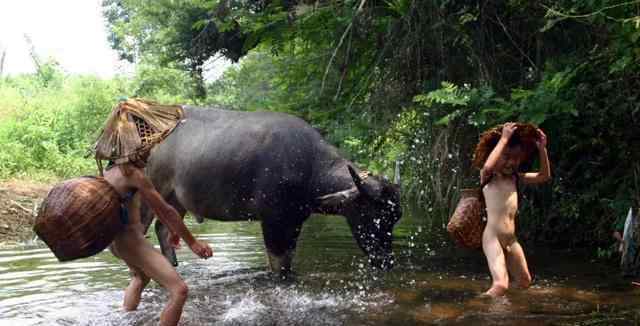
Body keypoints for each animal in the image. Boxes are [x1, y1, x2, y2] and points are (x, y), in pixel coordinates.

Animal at [144, 106, 400, 272]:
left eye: (395, 218)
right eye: (372, 215)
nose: (386, 260)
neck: (309, 167)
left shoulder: (294, 221)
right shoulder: (272, 221)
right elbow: (278, 267)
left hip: (176, 200)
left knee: (163, 228)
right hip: (149, 193)